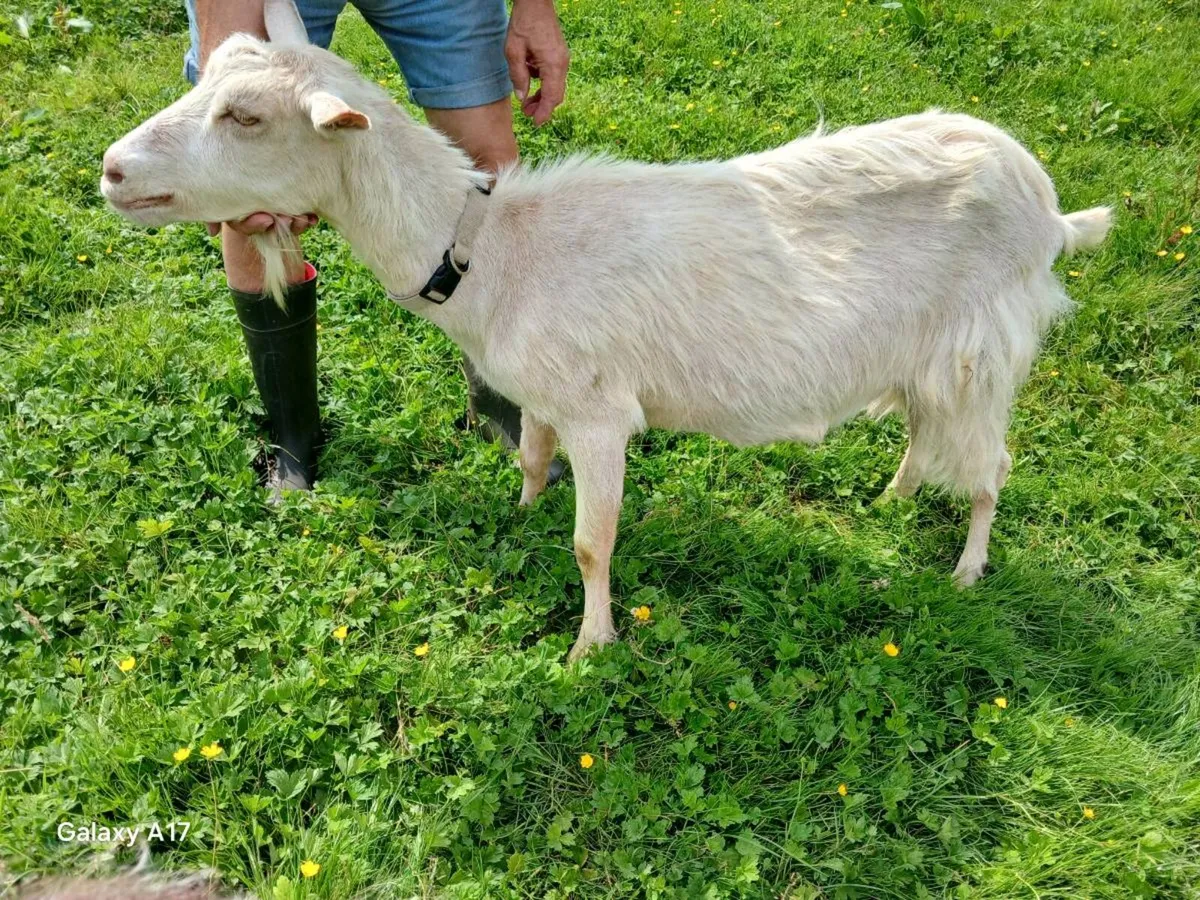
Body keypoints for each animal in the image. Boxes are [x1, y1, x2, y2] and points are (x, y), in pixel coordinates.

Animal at [101, 0, 1111, 660]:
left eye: (246, 116)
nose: (111, 170)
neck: (490, 252)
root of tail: (1052, 212)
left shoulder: (599, 412)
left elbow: (594, 541)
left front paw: (592, 646)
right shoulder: (546, 399)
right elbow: (529, 458)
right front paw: (519, 517)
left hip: (984, 344)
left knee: (990, 464)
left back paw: (967, 572)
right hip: (926, 348)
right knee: (923, 428)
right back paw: (892, 500)